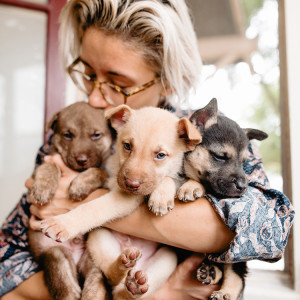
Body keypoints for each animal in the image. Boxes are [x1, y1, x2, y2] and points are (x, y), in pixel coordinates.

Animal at [28, 102, 112, 300]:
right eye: (67, 135)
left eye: (96, 135)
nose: (81, 160)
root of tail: (75, 257)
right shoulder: (42, 165)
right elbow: (49, 166)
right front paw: (43, 189)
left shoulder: (105, 176)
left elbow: (98, 171)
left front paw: (79, 185)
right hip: (52, 251)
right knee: (60, 274)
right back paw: (71, 291)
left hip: (92, 261)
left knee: (96, 280)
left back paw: (91, 295)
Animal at [39, 105, 200, 298]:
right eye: (127, 146)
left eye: (161, 155)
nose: (131, 184)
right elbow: (93, 206)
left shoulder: (128, 197)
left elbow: (94, 206)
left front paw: (161, 198)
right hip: (98, 237)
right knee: (112, 278)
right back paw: (123, 266)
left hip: (167, 258)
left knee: (128, 293)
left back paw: (135, 286)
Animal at [177, 98, 268, 300]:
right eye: (219, 156)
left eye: (244, 162)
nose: (243, 186)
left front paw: (191, 186)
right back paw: (210, 272)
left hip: (235, 257)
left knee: (236, 276)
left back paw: (223, 290)